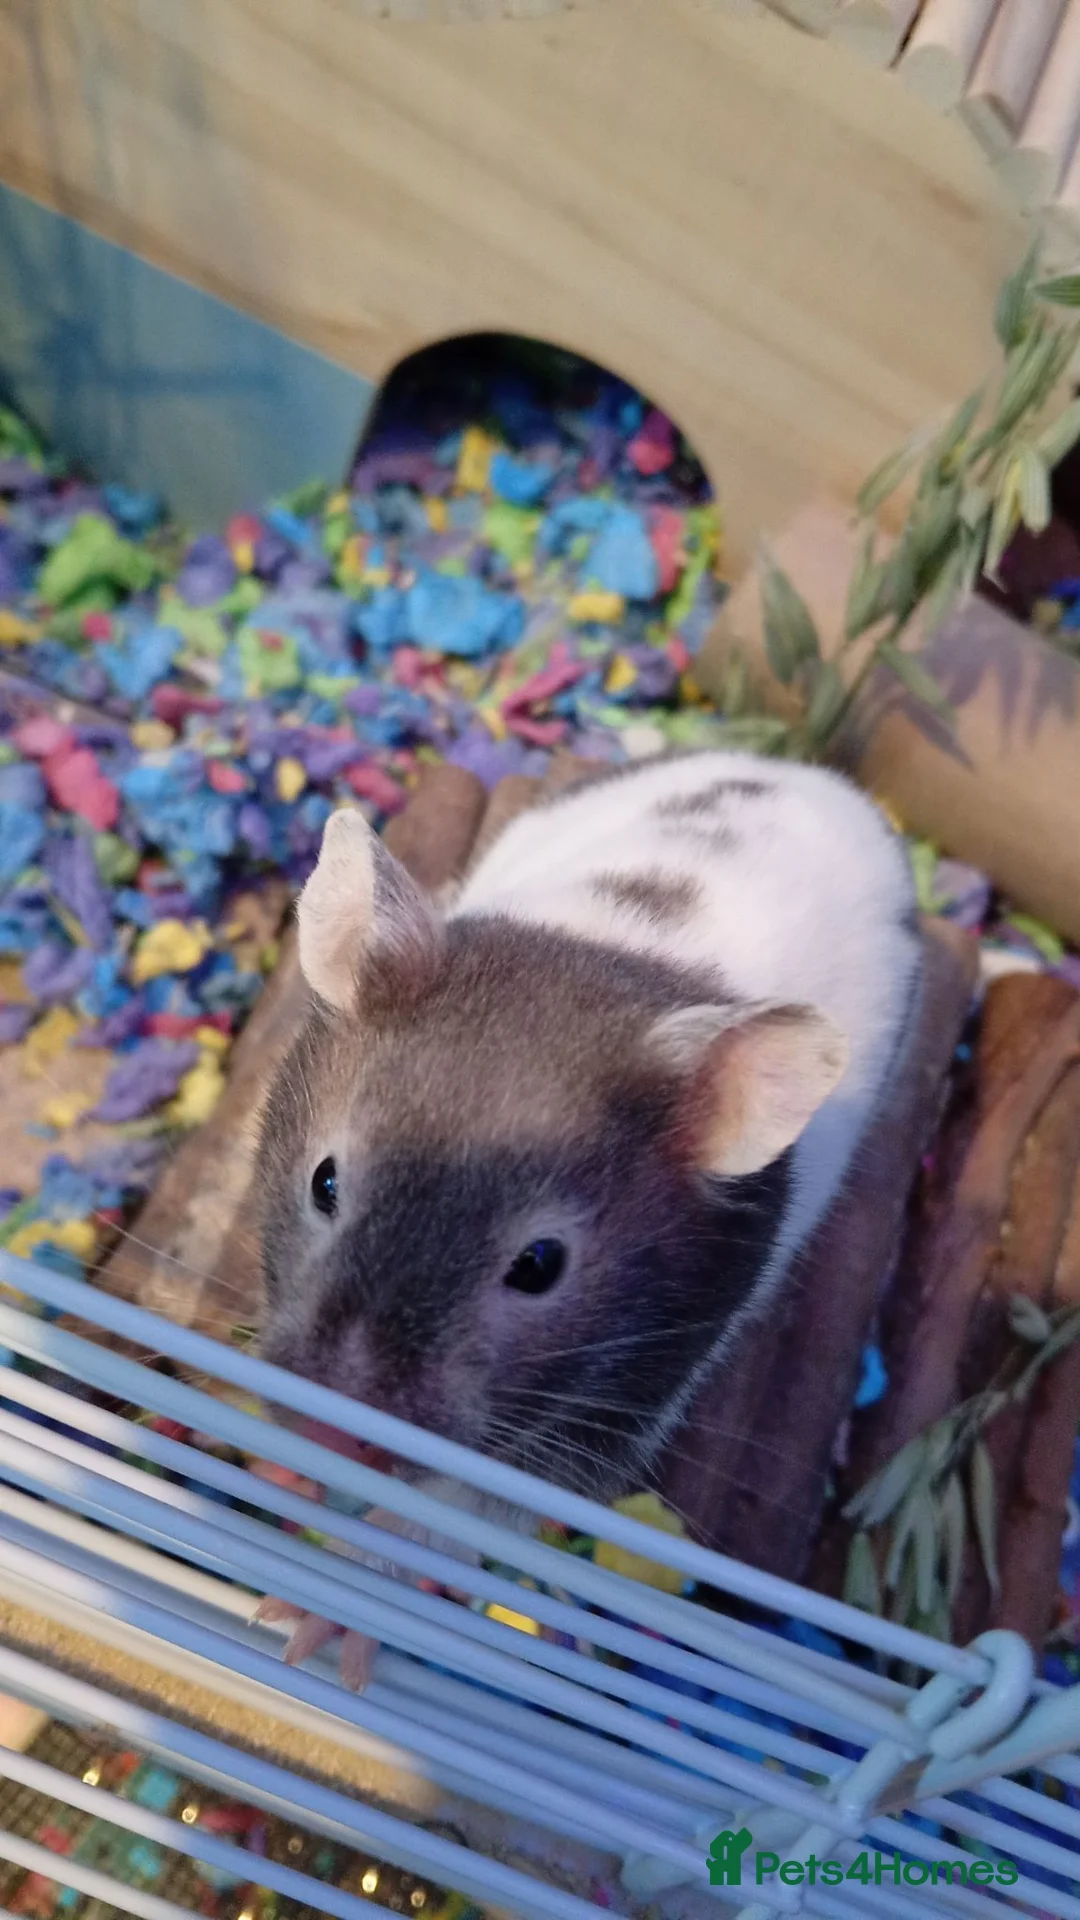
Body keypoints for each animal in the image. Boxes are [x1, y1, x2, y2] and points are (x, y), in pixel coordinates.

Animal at [255, 750, 921, 1682]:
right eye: (324, 1183)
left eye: (540, 1266)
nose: (329, 1426)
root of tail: (810, 772)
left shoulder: (606, 1411)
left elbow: (440, 1516)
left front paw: (318, 1628)